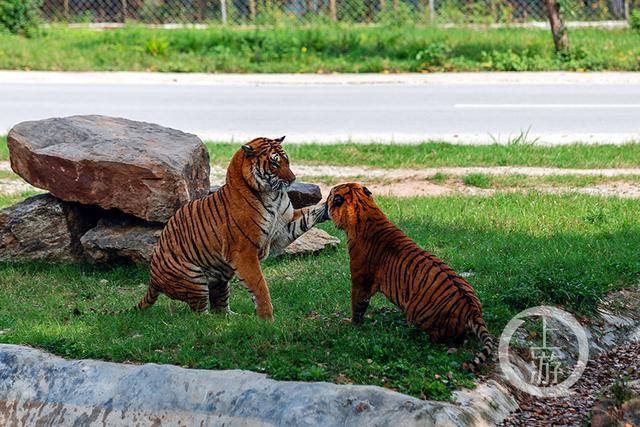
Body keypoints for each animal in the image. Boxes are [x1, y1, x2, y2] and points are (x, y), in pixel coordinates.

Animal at [133, 137, 328, 320]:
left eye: (287, 161)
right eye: (274, 163)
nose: (292, 179)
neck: (273, 195)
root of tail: (152, 280)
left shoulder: (282, 229)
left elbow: (308, 215)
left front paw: (329, 205)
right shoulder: (244, 251)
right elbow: (259, 285)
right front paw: (267, 319)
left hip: (220, 280)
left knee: (220, 308)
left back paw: (238, 318)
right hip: (194, 278)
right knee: (200, 315)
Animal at [324, 182, 496, 370]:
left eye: (330, 197)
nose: (324, 203)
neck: (365, 209)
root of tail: (472, 309)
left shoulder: (360, 281)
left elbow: (357, 305)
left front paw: (351, 323)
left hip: (416, 314)